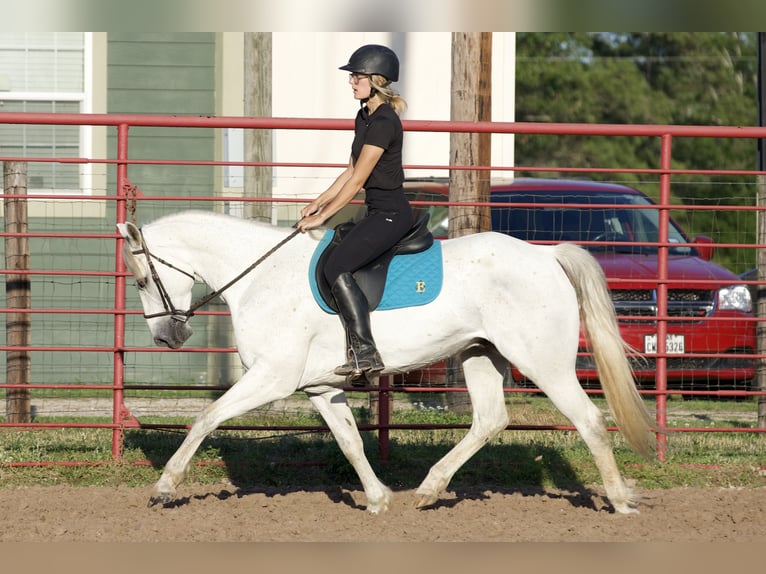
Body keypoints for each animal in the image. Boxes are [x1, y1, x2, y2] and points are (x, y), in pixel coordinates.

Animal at [117, 212, 656, 516]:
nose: (168, 336)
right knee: (489, 419)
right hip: (480, 353)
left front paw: (164, 487)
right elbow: (351, 443)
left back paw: (621, 501)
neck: (261, 277)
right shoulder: (320, 388)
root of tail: (546, 258)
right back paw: (430, 489)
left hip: (544, 363)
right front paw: (378, 498)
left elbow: (206, 418)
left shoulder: (272, 378)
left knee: (588, 420)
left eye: (142, 278)